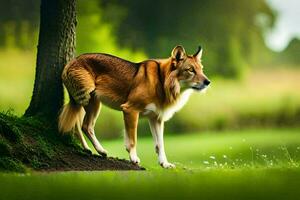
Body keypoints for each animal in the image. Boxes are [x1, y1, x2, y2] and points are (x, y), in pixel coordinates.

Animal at [58, 45, 209, 169]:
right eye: (191, 70)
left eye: (201, 70)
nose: (208, 82)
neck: (161, 81)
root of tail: (70, 62)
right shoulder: (130, 110)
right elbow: (133, 140)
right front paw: (133, 158)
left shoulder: (156, 119)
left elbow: (160, 144)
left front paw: (164, 163)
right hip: (88, 100)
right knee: (84, 125)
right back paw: (99, 150)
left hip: (89, 103)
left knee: (79, 125)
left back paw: (89, 149)